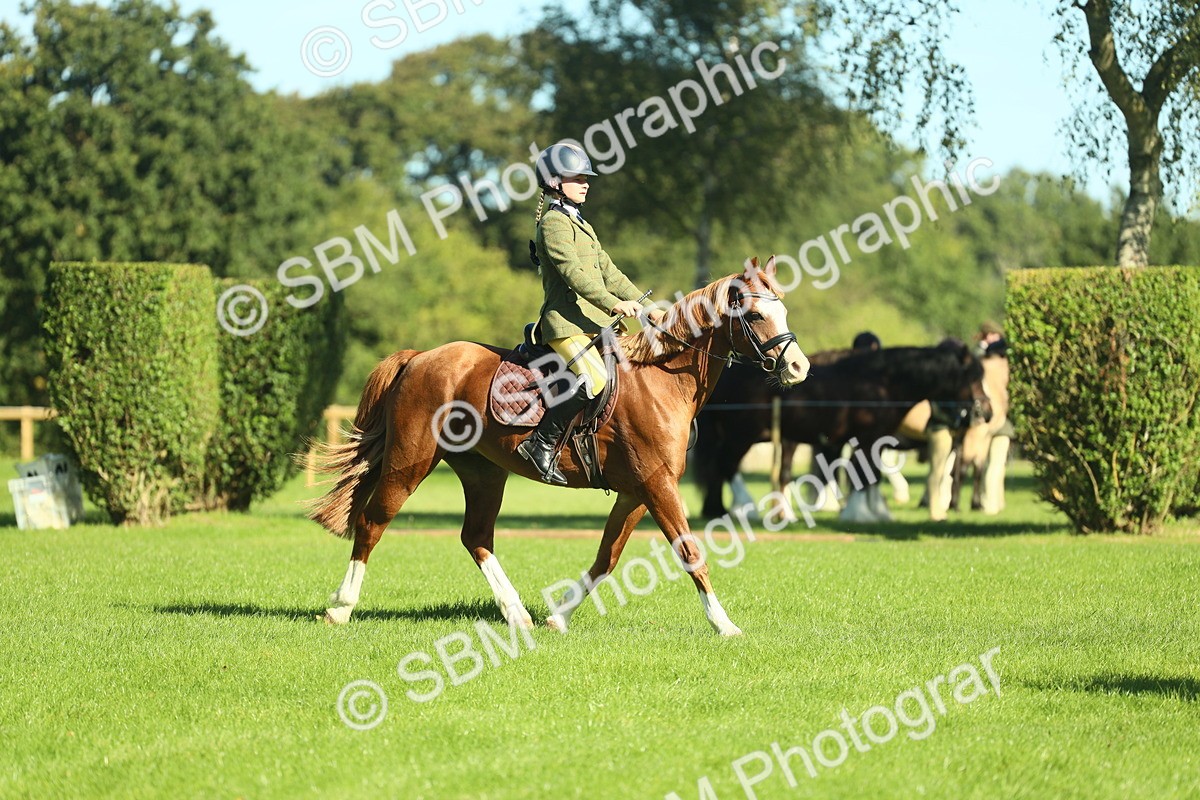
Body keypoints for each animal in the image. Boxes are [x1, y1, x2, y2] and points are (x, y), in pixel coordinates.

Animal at [305, 257, 810, 637]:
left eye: (784, 312)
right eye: (758, 315)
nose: (799, 368)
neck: (660, 379)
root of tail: (420, 357)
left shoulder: (636, 493)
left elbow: (606, 558)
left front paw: (558, 616)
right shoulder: (657, 486)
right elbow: (690, 554)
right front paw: (724, 625)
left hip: (483, 472)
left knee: (476, 537)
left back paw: (517, 614)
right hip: (410, 463)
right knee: (372, 523)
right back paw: (340, 607)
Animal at [693, 344, 991, 520]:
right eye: (972, 377)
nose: (986, 412)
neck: (881, 383)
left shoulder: (873, 440)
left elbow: (871, 476)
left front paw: (875, 513)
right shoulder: (866, 438)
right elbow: (862, 475)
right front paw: (858, 513)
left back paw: (717, 510)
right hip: (743, 434)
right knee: (726, 465)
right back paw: (745, 509)